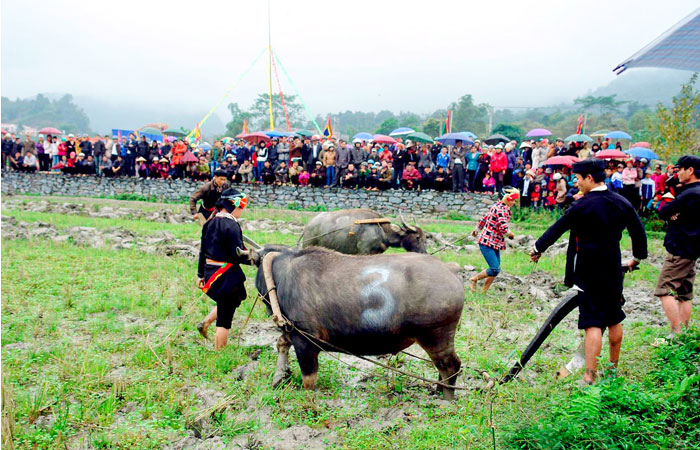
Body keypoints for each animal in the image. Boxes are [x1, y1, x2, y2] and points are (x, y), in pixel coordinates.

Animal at [241, 244, 464, 400]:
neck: (281, 277)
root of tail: (450, 270)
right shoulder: (290, 331)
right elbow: (281, 344)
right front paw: (279, 377)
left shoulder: (304, 340)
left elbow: (309, 380)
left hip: (436, 337)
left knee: (450, 366)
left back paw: (445, 398)